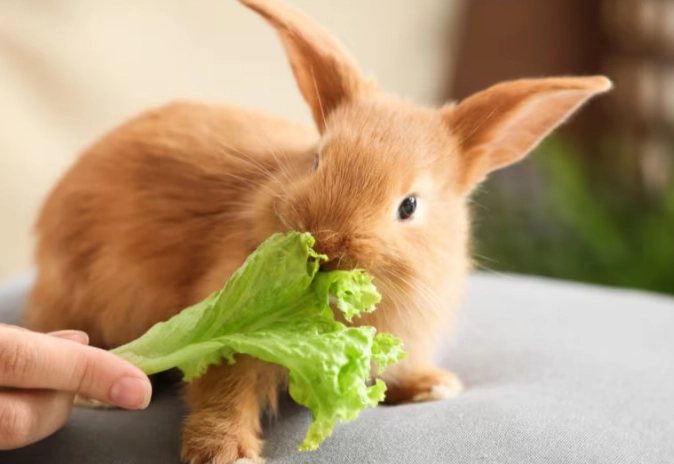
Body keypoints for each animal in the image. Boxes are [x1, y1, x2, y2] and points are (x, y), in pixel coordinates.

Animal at [21, 0, 612, 462]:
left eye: (409, 206)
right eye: (316, 162)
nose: (325, 245)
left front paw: (432, 388)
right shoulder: (227, 329)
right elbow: (223, 391)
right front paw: (226, 453)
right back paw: (95, 395)